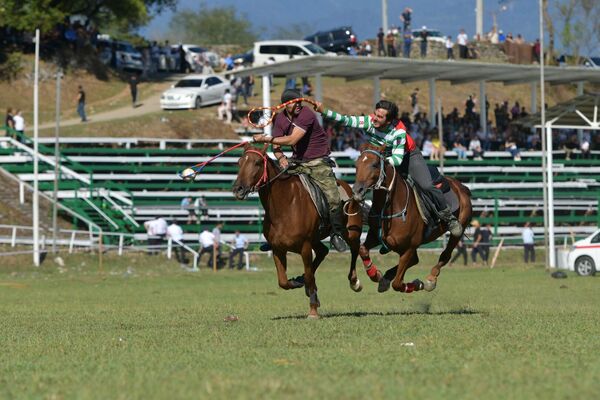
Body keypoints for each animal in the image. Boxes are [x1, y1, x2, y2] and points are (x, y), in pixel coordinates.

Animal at [232, 144, 364, 318]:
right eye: (239, 162)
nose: (238, 189)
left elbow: (309, 275)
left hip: (351, 233)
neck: (285, 205)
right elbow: (283, 281)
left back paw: (354, 281)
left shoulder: (305, 247)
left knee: (356, 249)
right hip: (316, 239)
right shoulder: (278, 249)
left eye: (258, 163)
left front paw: (313, 309)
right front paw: (297, 282)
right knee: (323, 252)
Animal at [352, 147, 474, 294]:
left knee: (445, 254)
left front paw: (418, 284)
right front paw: (375, 274)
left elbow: (398, 284)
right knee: (415, 260)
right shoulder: (376, 236)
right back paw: (385, 278)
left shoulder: (409, 248)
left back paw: (430, 279)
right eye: (356, 165)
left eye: (375, 165)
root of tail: (461, 187)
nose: (357, 191)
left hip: (458, 231)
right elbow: (363, 249)